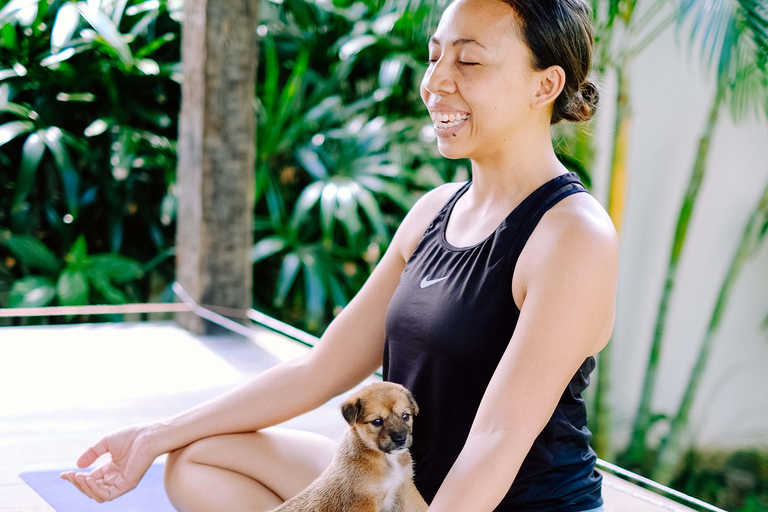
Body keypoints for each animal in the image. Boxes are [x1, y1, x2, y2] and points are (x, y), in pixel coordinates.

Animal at [268, 382, 426, 512]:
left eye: (405, 416)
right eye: (377, 421)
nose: (400, 439)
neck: (387, 459)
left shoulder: (405, 487)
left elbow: (421, 506)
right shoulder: (364, 501)